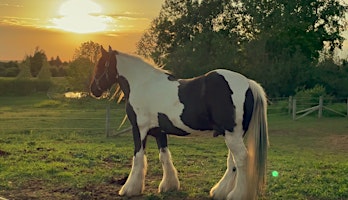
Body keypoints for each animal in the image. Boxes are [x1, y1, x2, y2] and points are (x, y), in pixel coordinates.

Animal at [89, 45, 270, 200]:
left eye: (100, 65)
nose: (93, 89)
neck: (143, 84)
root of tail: (248, 83)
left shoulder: (139, 129)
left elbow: (138, 157)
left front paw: (130, 189)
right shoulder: (159, 132)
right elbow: (164, 156)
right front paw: (169, 185)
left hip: (232, 134)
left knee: (241, 159)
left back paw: (236, 195)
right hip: (233, 134)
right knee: (232, 162)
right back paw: (219, 191)